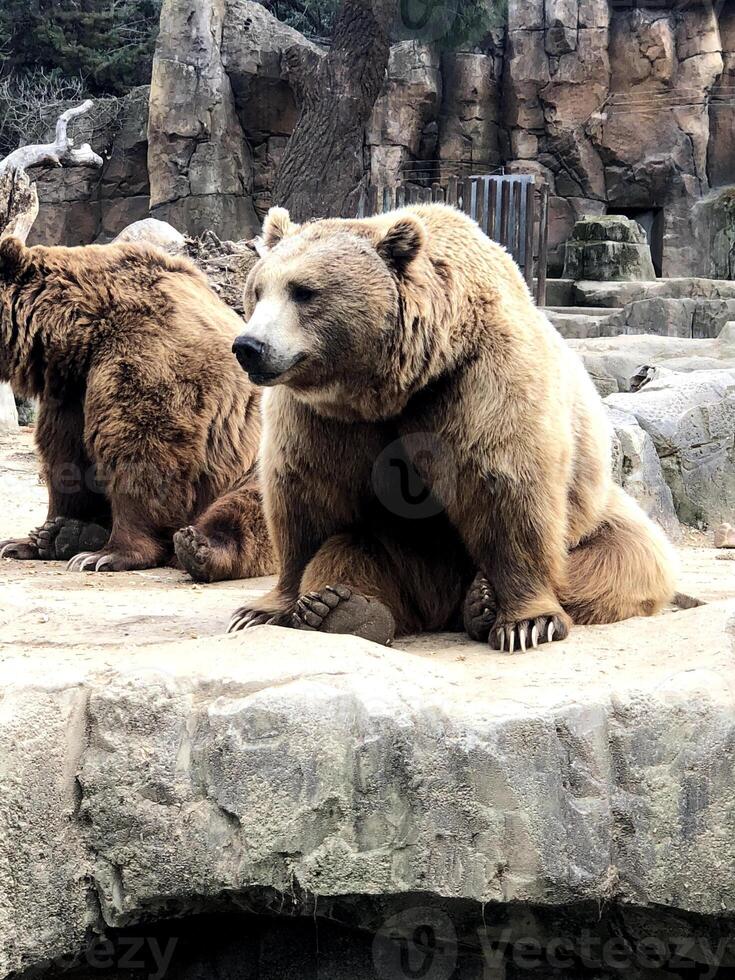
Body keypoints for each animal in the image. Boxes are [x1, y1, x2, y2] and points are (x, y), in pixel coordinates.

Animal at [0, 235, 274, 580]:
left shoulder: (149, 352)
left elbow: (143, 451)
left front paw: (106, 554)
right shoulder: (70, 392)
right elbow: (65, 458)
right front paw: (32, 539)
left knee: (254, 507)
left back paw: (199, 547)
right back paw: (64, 535)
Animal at [227, 205, 676, 652]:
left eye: (304, 291)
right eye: (258, 290)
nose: (249, 346)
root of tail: (441, 609)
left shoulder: (480, 380)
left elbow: (509, 488)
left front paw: (527, 622)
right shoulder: (322, 417)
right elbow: (306, 498)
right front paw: (261, 609)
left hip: (593, 515)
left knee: (623, 557)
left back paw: (480, 601)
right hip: (409, 553)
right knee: (354, 548)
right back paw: (346, 608)